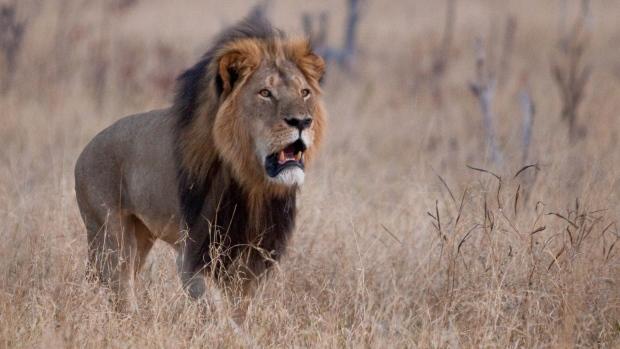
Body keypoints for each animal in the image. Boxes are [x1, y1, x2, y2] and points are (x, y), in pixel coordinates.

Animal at [73, 15, 326, 312]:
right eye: (265, 92)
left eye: (304, 92)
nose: (302, 121)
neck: (251, 184)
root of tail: (86, 149)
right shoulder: (193, 255)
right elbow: (218, 310)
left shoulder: (253, 256)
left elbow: (240, 309)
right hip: (110, 236)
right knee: (120, 288)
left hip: (141, 236)